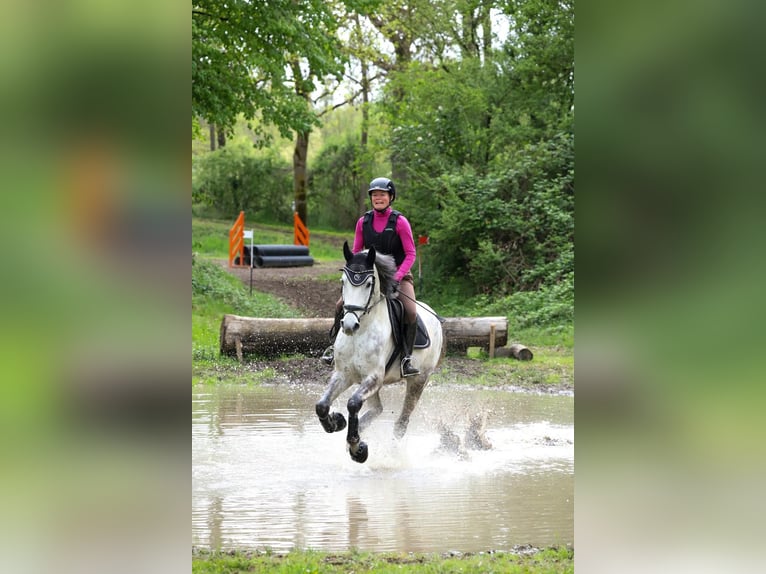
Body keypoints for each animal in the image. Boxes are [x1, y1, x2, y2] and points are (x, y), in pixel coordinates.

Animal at [315, 241, 445, 463]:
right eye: (343, 282)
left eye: (368, 284)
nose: (349, 325)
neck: (361, 331)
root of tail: (434, 316)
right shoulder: (344, 375)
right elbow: (322, 405)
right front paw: (337, 422)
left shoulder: (374, 377)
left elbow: (353, 404)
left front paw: (357, 448)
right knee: (377, 409)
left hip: (418, 380)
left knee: (401, 422)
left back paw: (391, 454)